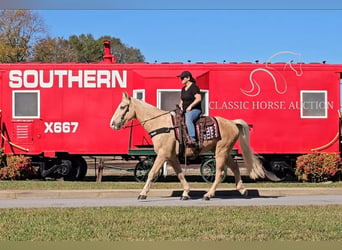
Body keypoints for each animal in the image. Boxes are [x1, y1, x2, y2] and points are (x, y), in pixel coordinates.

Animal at [111, 92, 274, 199]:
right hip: (223, 151)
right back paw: (242, 190)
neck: (162, 124)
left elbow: (151, 173)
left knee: (219, 172)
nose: (113, 124)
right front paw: (186, 192)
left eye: (123, 107)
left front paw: (142, 194)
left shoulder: (163, 154)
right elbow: (180, 173)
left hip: (221, 152)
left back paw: (209, 194)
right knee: (234, 167)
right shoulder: (171, 156)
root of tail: (233, 123)